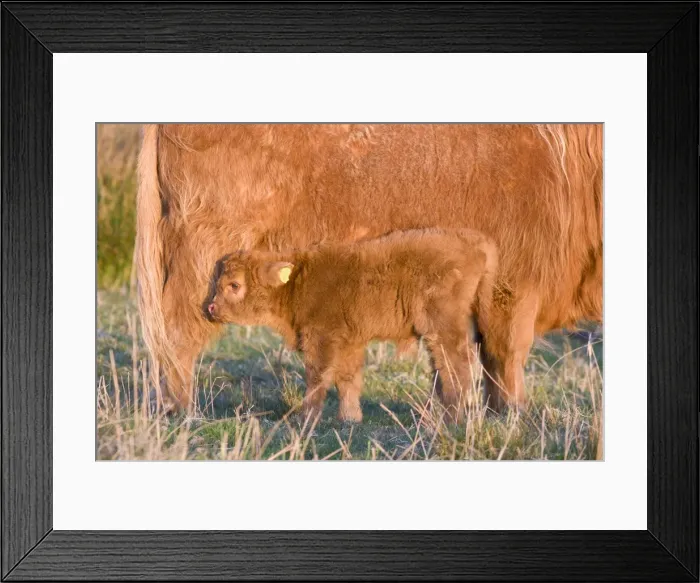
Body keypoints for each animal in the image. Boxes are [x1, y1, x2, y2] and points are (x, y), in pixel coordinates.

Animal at [205, 228, 498, 422]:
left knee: (455, 366)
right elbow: (348, 379)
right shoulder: (350, 342)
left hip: (443, 327)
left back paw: (452, 417)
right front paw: (350, 419)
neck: (297, 281)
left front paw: (306, 418)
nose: (210, 308)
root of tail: (475, 243)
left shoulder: (321, 338)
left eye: (234, 285)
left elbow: (318, 378)